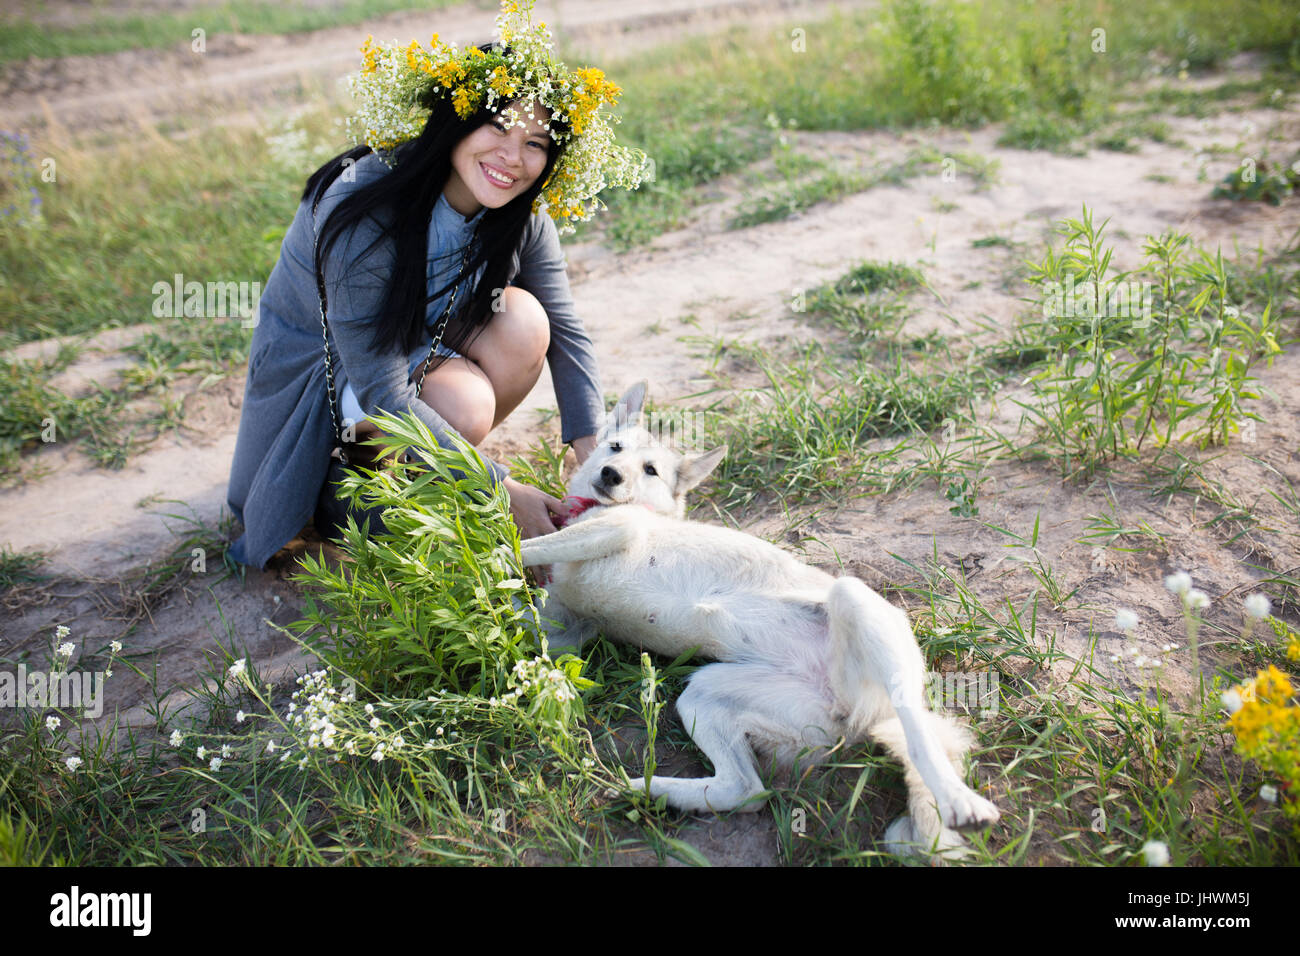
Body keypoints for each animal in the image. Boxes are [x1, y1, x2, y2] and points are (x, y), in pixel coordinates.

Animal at [522, 385, 998, 863]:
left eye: (650, 470)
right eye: (615, 447)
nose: (610, 474)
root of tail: (855, 714)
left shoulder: (616, 530)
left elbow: (531, 543)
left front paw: (502, 545)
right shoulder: (568, 631)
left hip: (855, 604)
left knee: (916, 732)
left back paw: (959, 801)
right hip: (706, 695)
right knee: (745, 791)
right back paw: (646, 790)